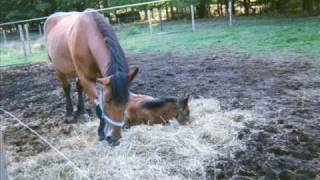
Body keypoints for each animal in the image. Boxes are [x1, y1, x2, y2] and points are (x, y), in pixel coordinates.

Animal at [44, 9, 138, 145]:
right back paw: (69, 114)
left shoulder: (102, 78)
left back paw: (81, 112)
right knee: (66, 88)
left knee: (78, 87)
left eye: (127, 100)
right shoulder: (87, 79)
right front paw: (101, 133)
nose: (115, 138)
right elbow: (98, 107)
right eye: (107, 100)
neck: (87, 37)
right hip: (59, 69)